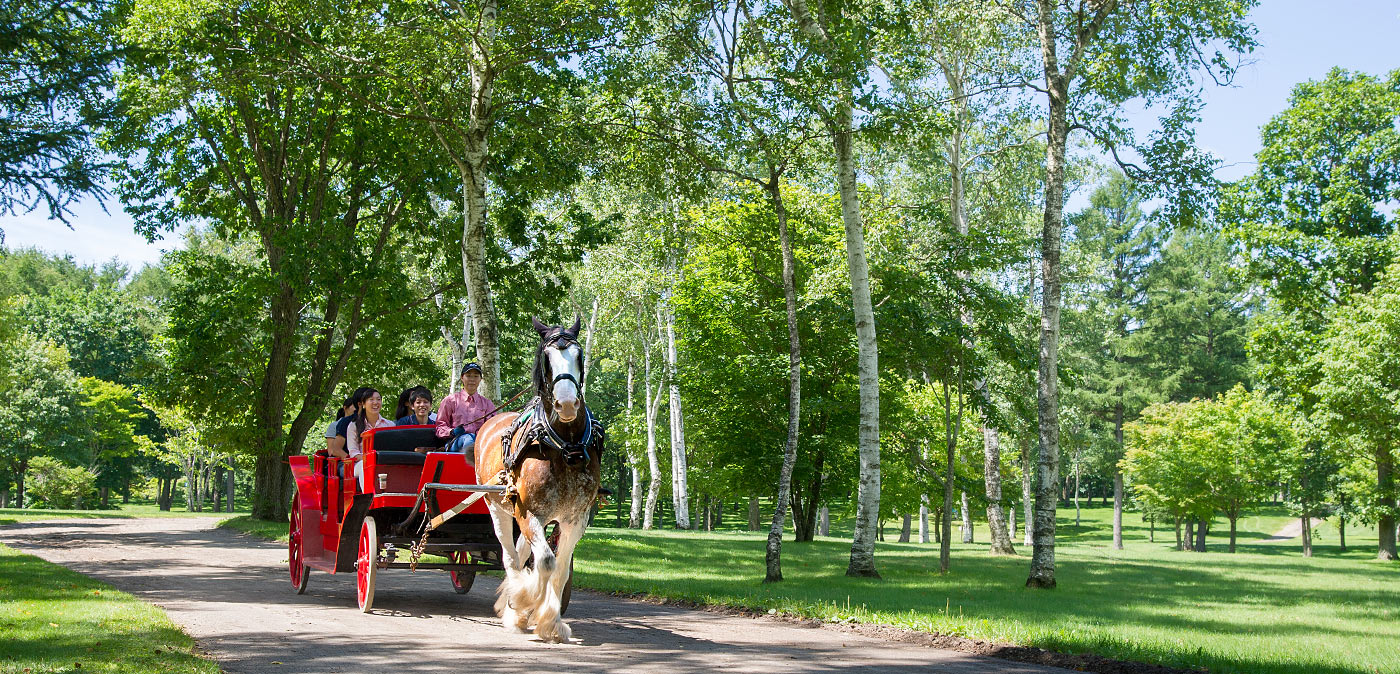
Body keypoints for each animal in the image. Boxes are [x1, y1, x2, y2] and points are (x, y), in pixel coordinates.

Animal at [476, 315, 602, 641]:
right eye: (547, 358)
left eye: (578, 355)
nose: (567, 404)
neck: (566, 446)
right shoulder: (528, 511)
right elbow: (545, 561)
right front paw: (523, 603)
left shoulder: (575, 518)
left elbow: (560, 570)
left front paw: (551, 622)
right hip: (498, 508)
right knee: (510, 557)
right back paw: (515, 604)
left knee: (522, 552)